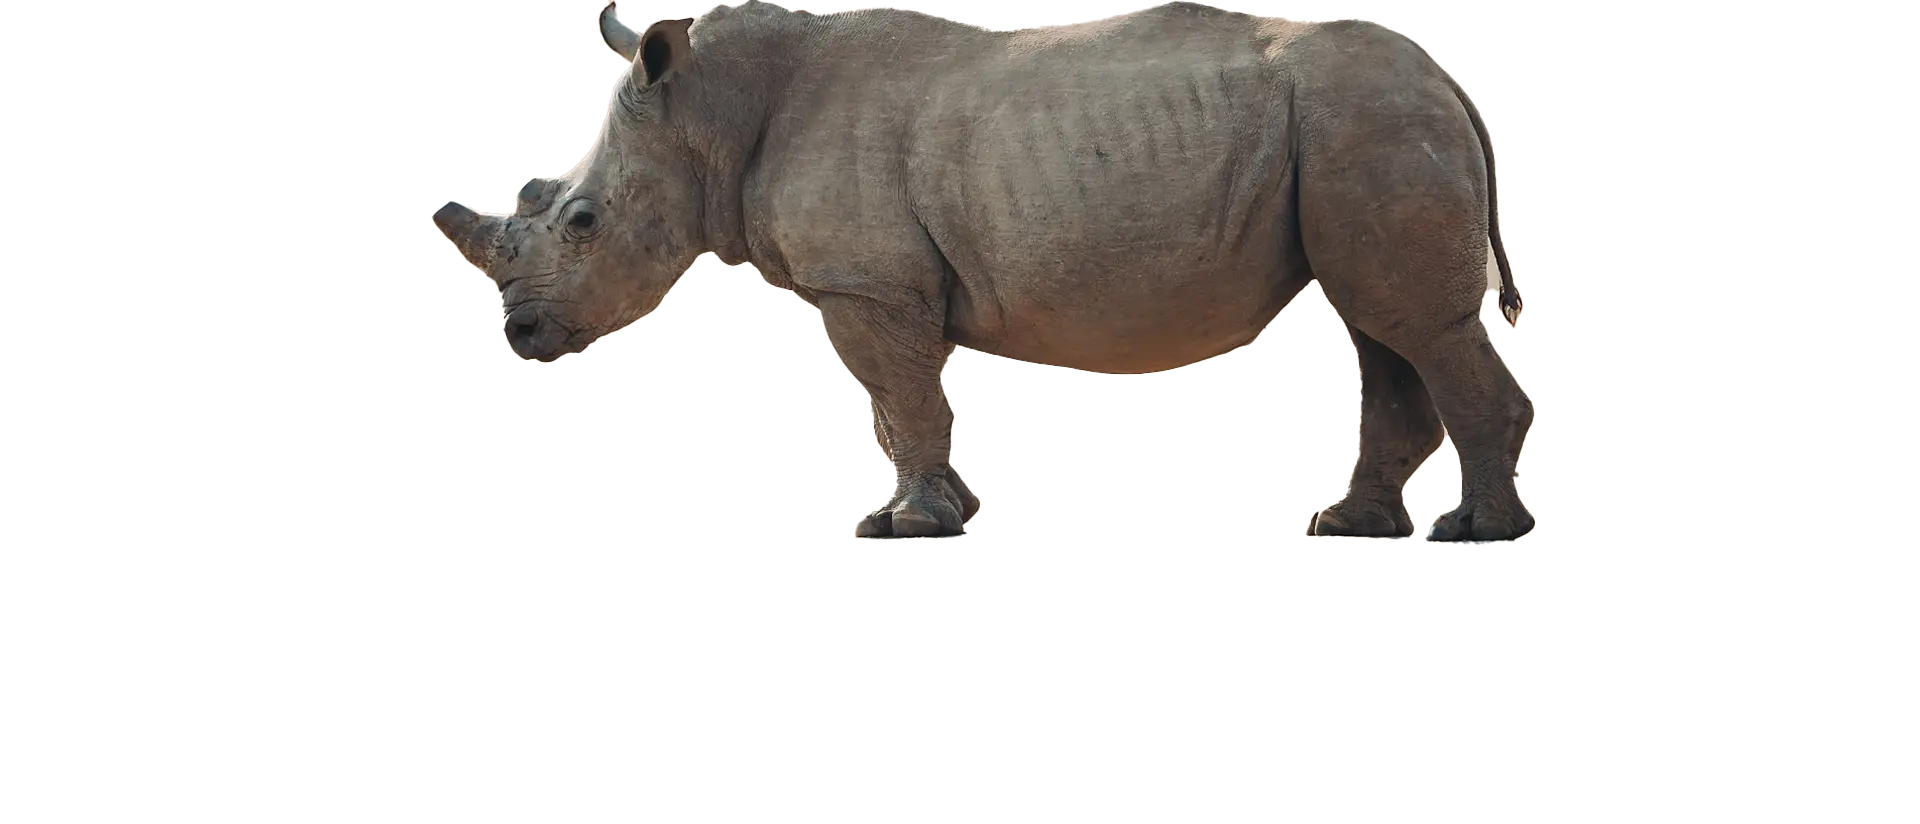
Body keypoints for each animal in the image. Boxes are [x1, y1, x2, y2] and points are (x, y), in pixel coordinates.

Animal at [430, 0, 1536, 542]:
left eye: (581, 221)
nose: (518, 335)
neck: (706, 108)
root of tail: (1452, 78)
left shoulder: (865, 282)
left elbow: (898, 396)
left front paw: (901, 526)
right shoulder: (879, 282)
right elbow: (903, 404)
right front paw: (935, 513)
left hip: (1369, 116)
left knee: (1411, 327)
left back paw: (1476, 533)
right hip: (1360, 122)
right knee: (1383, 330)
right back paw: (1349, 527)